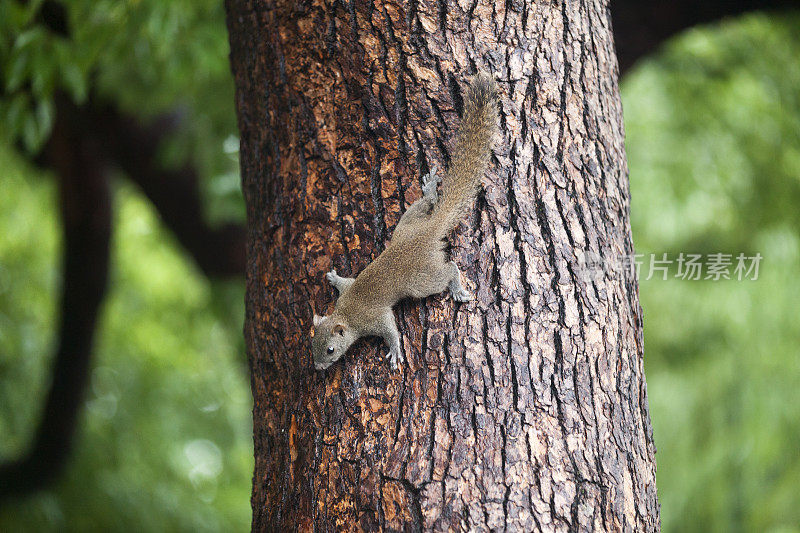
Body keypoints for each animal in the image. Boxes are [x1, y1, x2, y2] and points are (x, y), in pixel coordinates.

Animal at [314, 71, 496, 370]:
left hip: (421, 280)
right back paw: (431, 189)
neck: (346, 313)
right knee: (426, 206)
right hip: (407, 225)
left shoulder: (375, 318)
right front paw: (333, 277)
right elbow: (344, 282)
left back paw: (457, 288)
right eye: (311, 345)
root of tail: (429, 231)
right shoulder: (349, 289)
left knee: (449, 269)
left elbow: (390, 329)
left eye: (330, 350)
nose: (318, 367)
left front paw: (395, 351)